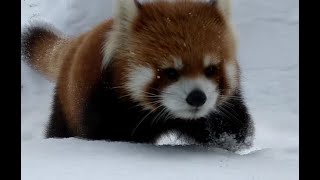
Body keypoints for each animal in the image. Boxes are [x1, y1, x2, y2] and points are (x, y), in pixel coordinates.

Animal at [21, 0, 254, 150]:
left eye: (210, 69)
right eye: (170, 72)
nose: (197, 97)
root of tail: (78, 40)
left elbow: (232, 129)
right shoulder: (102, 103)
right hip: (65, 103)